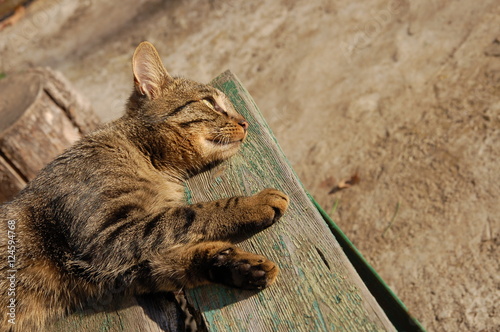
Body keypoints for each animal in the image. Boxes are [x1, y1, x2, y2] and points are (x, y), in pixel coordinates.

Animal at [0, 42, 290, 332]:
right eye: (210, 103)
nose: (245, 122)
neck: (150, 160)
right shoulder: (106, 237)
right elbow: (194, 213)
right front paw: (254, 203)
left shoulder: (112, 269)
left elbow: (173, 263)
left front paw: (237, 266)